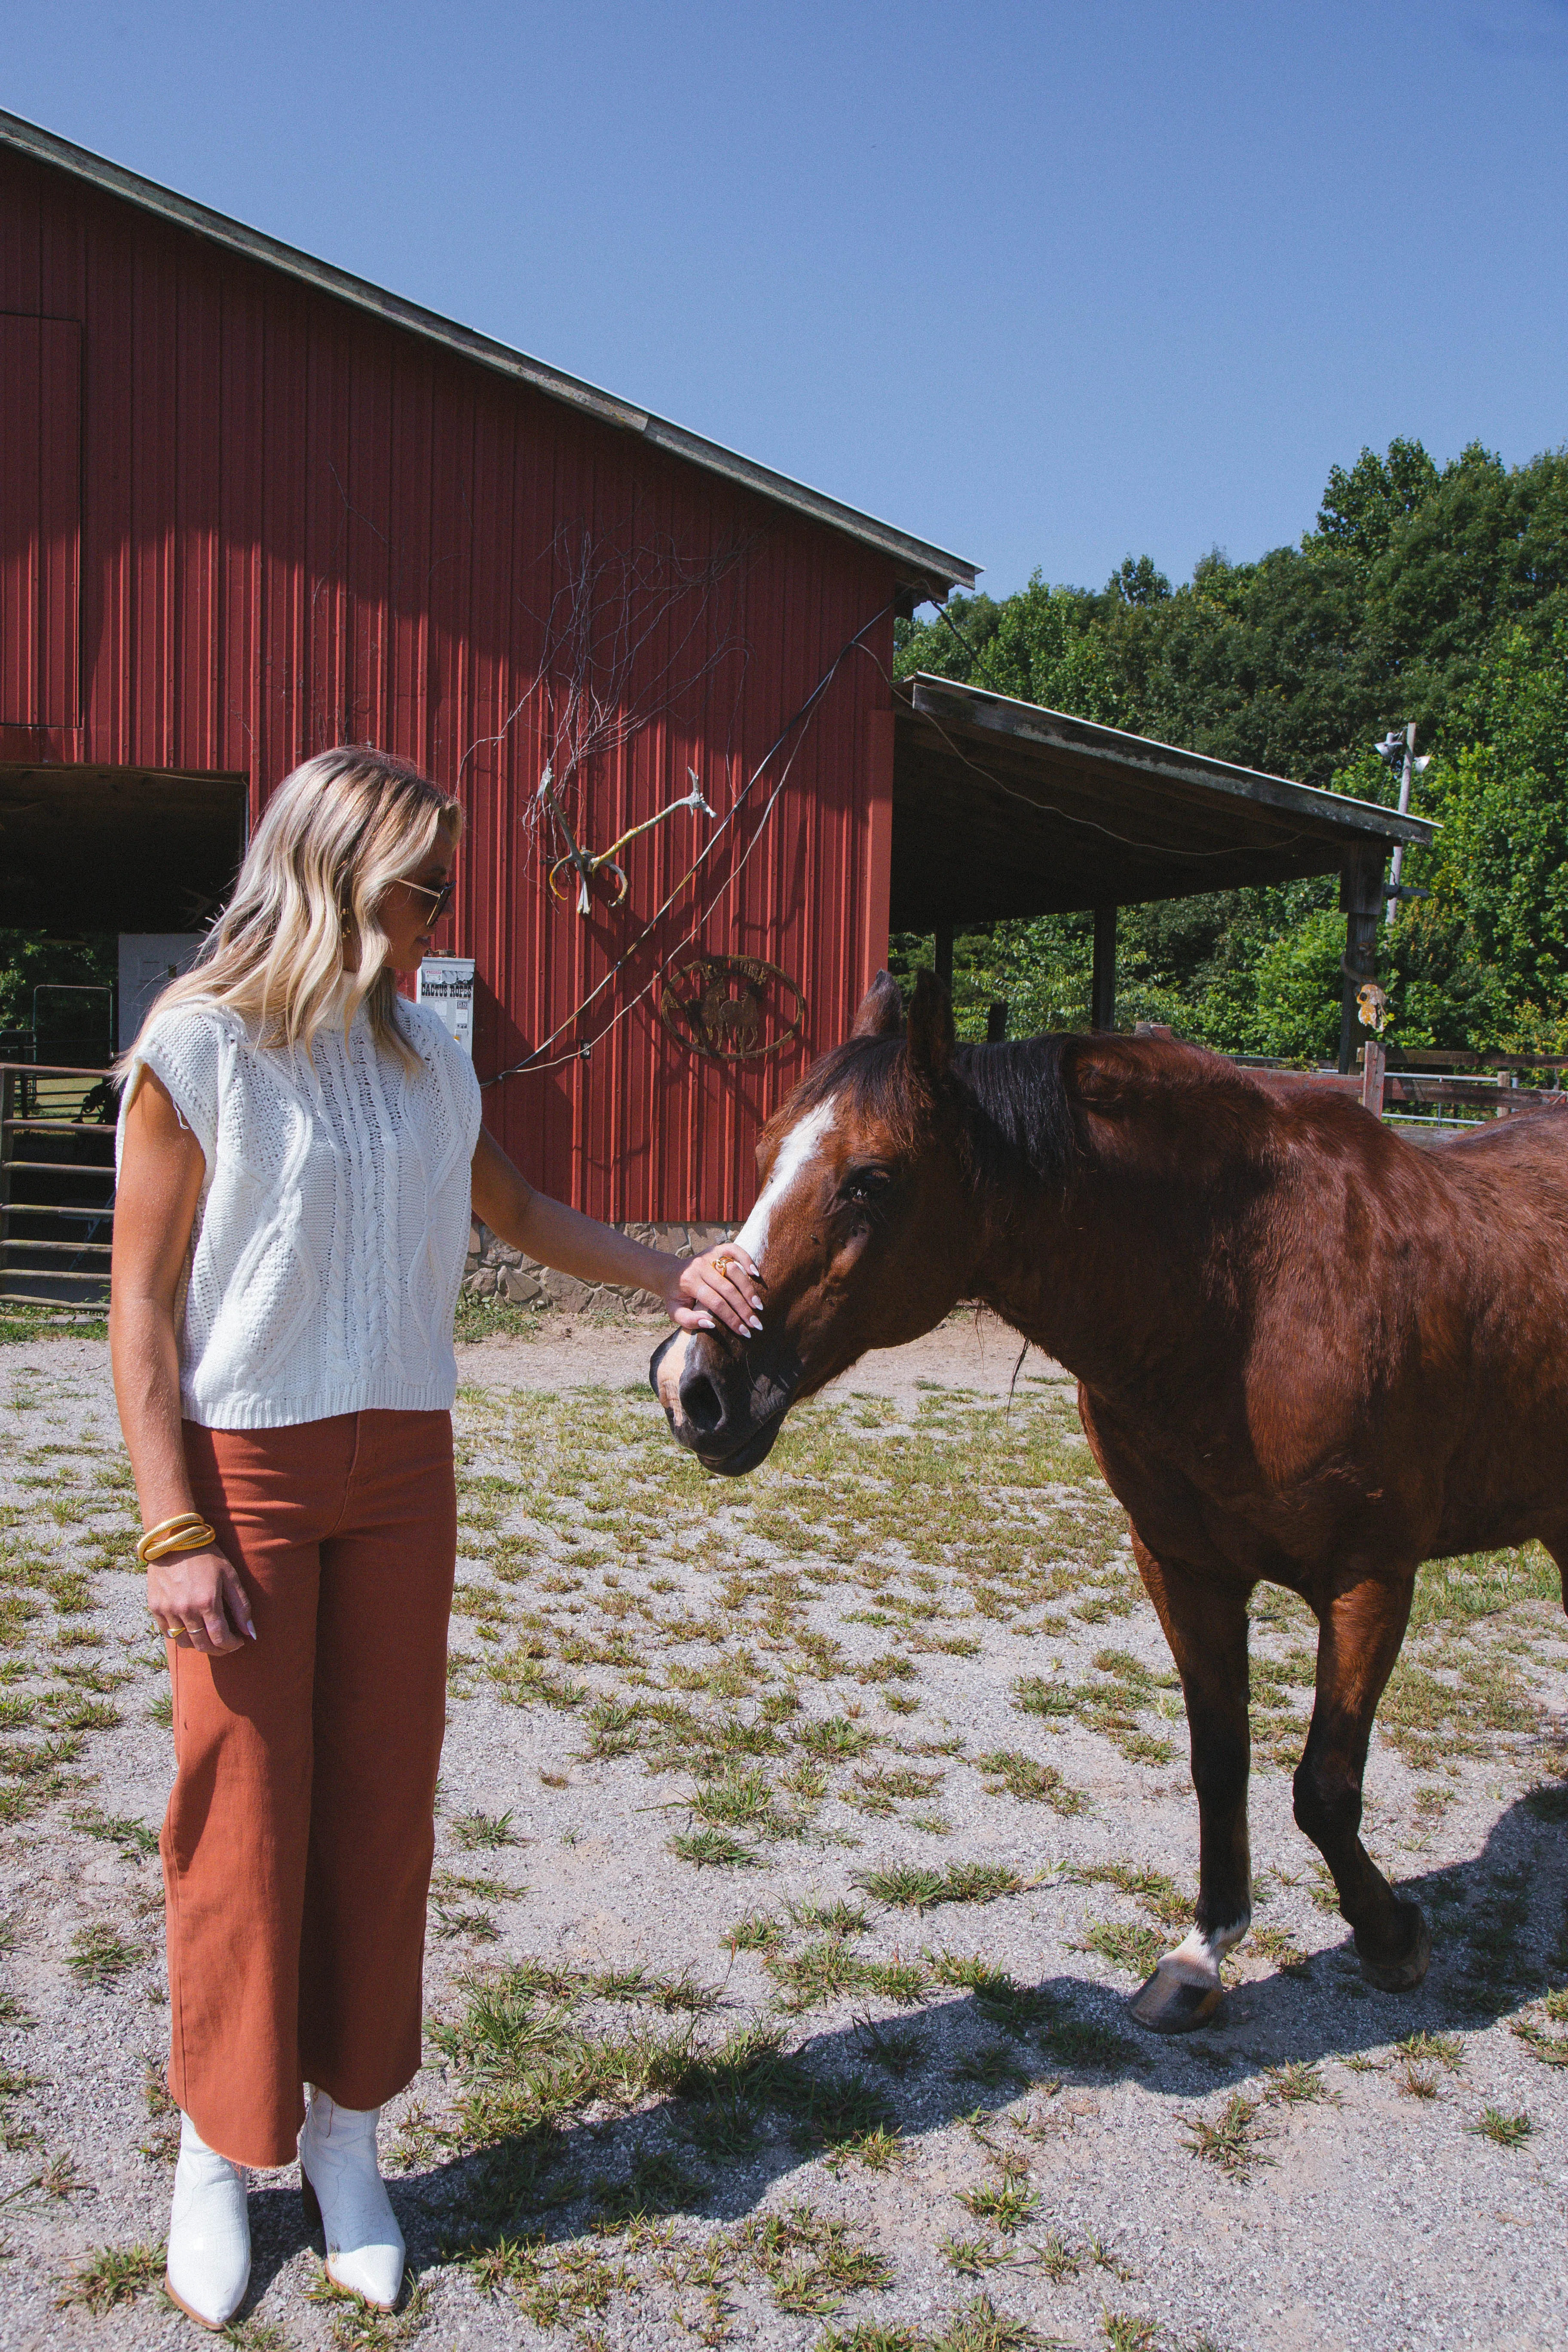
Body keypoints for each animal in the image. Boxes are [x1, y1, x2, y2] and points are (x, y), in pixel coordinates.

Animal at [649, 964, 1568, 2032]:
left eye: (870, 1179)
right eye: (764, 1157)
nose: (692, 1389)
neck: (1257, 1298)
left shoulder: (1371, 1578)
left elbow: (1326, 1788)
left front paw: (1389, 1939)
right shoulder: (1182, 1567)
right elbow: (1221, 1759)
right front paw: (1202, 1953)